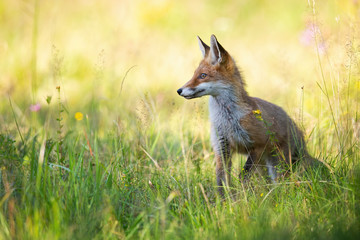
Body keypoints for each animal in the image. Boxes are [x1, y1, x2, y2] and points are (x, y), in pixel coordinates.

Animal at [178, 34, 318, 196]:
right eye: (194, 74)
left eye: (203, 76)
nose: (179, 90)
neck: (227, 119)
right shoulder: (222, 148)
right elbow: (221, 180)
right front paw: (223, 201)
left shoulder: (258, 145)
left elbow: (242, 176)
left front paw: (240, 197)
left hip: (276, 165)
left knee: (282, 184)